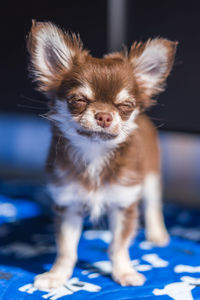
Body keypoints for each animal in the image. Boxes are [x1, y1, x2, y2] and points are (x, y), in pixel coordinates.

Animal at [27, 20, 177, 288]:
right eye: (78, 100)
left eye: (126, 106)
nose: (105, 116)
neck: (94, 155)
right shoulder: (69, 205)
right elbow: (66, 248)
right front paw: (57, 275)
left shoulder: (124, 204)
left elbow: (118, 245)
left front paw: (124, 272)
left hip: (150, 174)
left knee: (153, 204)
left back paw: (157, 233)